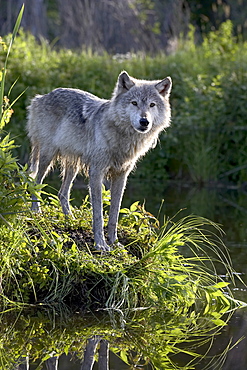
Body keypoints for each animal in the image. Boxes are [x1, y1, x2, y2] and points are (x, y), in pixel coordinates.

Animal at [27, 71, 172, 251]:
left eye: (152, 105)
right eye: (134, 103)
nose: (144, 121)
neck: (123, 139)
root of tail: (41, 97)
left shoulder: (121, 176)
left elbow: (114, 215)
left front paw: (114, 242)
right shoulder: (96, 173)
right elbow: (98, 214)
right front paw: (100, 244)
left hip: (73, 166)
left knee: (62, 193)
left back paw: (70, 219)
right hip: (47, 156)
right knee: (36, 182)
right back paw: (36, 211)